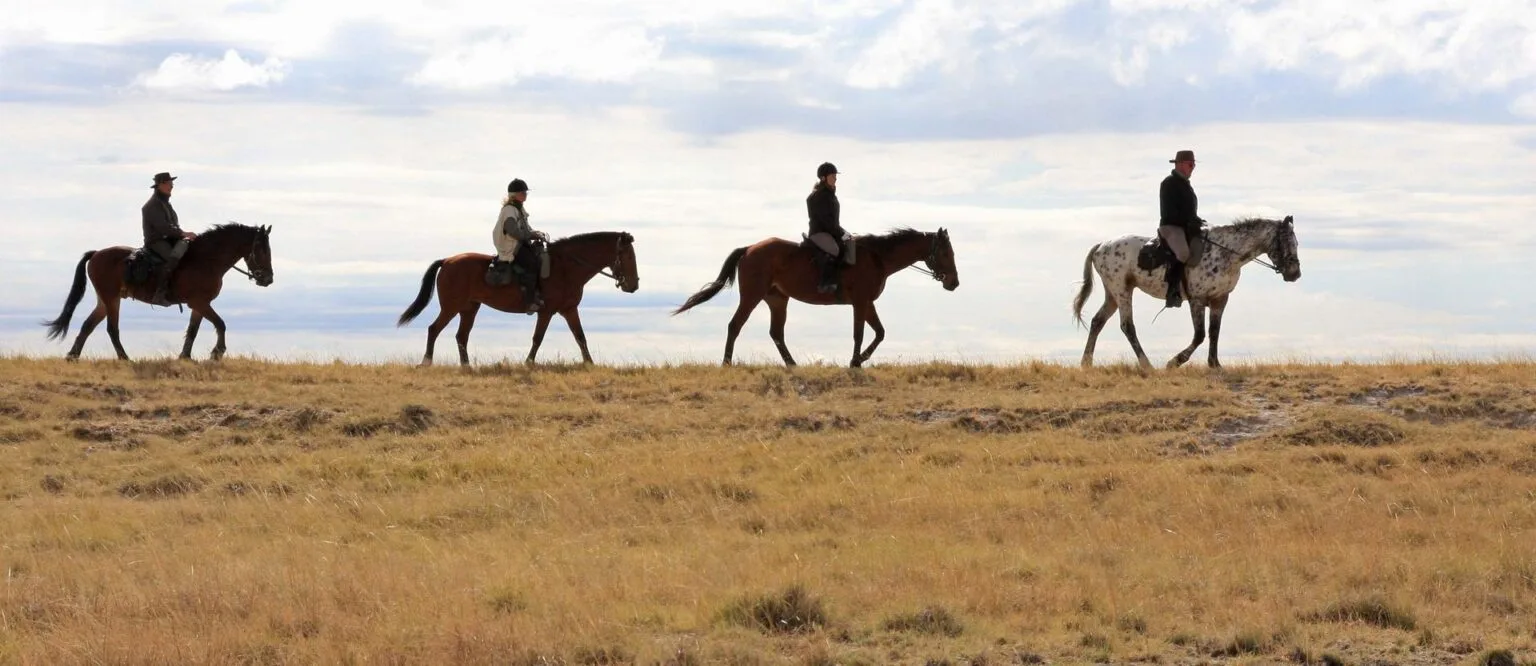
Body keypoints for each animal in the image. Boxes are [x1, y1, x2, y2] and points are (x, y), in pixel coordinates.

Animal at [41, 223, 275, 361]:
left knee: (88, 325)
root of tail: (97, 253)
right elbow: (220, 323)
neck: (207, 260)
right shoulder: (200, 303)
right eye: (261, 249)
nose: (268, 279)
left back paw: (73, 356)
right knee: (111, 329)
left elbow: (193, 330)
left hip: (105, 300)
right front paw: (217, 353)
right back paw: (124, 358)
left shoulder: (199, 305)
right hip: (111, 298)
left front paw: (185, 356)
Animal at [396, 231, 639, 366]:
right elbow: (538, 338)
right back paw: (426, 362)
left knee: (461, 336)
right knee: (434, 329)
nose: (634, 285)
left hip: (469, 309)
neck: (566, 267)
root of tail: (447, 261)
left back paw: (466, 366)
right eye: (628, 255)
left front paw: (589, 363)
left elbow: (580, 336)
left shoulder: (569, 310)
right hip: (451, 307)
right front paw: (528, 363)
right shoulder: (546, 311)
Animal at [672, 228, 959, 368]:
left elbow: (880, 333)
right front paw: (855, 362)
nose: (954, 283)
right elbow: (860, 334)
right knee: (735, 325)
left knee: (776, 333)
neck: (878, 257)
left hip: (777, 300)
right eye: (946, 252)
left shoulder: (867, 303)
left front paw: (861, 359)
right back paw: (727, 363)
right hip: (752, 296)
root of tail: (750, 248)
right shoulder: (860, 302)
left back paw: (792, 364)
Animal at [1072, 216, 1301, 370]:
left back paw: (1086, 363)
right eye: (1286, 242)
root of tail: (1101, 246)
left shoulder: (1220, 299)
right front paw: (1174, 362)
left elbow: (1214, 332)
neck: (1224, 253)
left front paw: (1215, 364)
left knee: (1097, 321)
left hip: (1113, 294)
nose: (1295, 273)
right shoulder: (1197, 300)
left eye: (1297, 243)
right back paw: (1147, 365)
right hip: (1122, 291)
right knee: (1127, 326)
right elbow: (1199, 335)